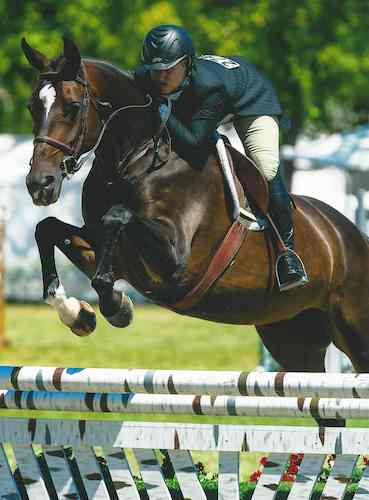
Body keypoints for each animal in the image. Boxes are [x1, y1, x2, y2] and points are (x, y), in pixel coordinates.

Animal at [21, 38, 368, 376]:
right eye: (32, 107)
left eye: (73, 107)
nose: (40, 184)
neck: (136, 158)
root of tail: (352, 235)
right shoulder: (108, 249)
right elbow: (47, 229)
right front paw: (79, 314)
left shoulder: (175, 261)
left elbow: (116, 217)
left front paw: (115, 307)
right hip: (291, 336)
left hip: (354, 330)